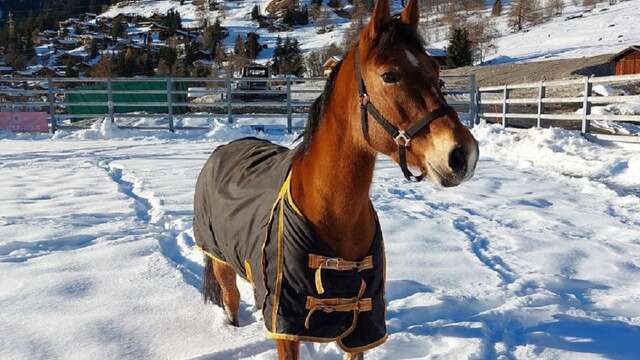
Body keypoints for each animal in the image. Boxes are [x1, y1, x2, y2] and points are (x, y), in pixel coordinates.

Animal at [192, 0, 478, 358]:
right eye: (389, 75)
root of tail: (225, 148)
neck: (331, 215)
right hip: (222, 263)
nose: (463, 155)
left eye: (436, 73)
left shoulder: (362, 327)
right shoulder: (286, 327)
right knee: (230, 300)